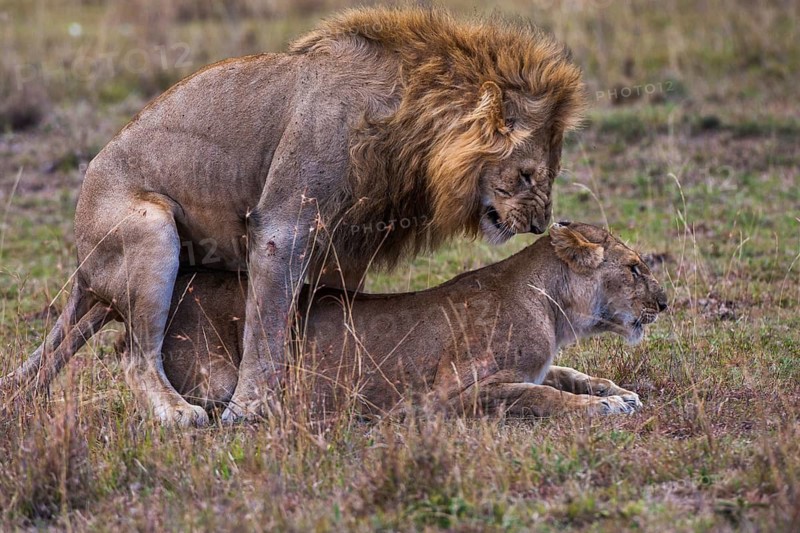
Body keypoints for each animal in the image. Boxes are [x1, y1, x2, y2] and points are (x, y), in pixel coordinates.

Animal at [2, 7, 586, 425]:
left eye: (550, 173)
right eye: (527, 175)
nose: (541, 225)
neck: (410, 127)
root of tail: (81, 266)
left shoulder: (351, 245)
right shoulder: (282, 226)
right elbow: (265, 326)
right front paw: (249, 409)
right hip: (150, 231)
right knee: (135, 355)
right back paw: (179, 413)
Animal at [102, 222, 664, 419]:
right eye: (635, 268)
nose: (665, 304)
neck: (554, 308)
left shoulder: (544, 365)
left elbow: (567, 376)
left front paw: (616, 391)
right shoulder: (447, 396)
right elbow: (540, 395)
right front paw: (606, 407)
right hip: (220, 376)